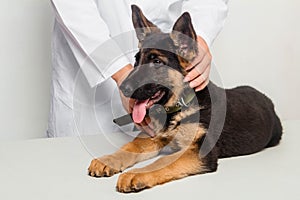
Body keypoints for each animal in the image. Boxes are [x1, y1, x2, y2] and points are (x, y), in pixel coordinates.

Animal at [88, 5, 282, 192]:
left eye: (157, 62)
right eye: (137, 60)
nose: (123, 88)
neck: (179, 106)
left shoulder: (199, 150)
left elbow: (163, 161)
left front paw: (136, 174)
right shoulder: (154, 137)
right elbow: (131, 146)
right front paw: (107, 160)